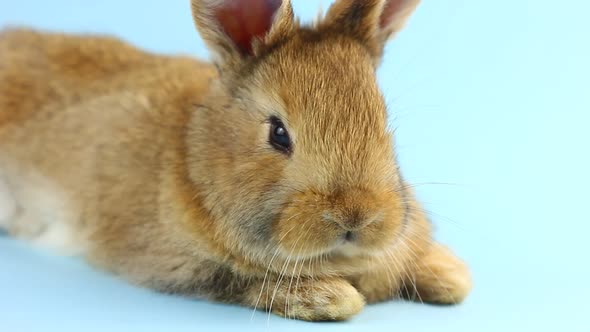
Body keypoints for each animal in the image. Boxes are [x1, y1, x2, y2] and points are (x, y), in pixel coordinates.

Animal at [0, 0, 472, 322]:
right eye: (278, 133)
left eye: (383, 120)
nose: (357, 216)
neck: (194, 159)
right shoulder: (178, 264)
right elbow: (243, 283)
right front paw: (335, 298)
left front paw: (452, 275)